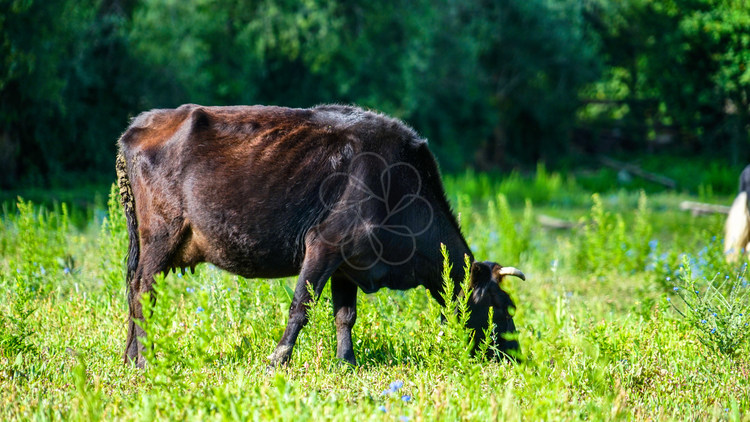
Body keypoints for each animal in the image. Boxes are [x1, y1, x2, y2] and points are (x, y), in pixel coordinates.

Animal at [117, 104, 528, 368]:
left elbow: (345, 315)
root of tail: (139, 125)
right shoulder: (323, 244)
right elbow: (301, 306)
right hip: (162, 235)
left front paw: (347, 362)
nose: (515, 358)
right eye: (503, 306)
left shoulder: (349, 264)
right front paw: (278, 361)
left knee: (134, 290)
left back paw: (129, 357)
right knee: (142, 291)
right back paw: (143, 360)